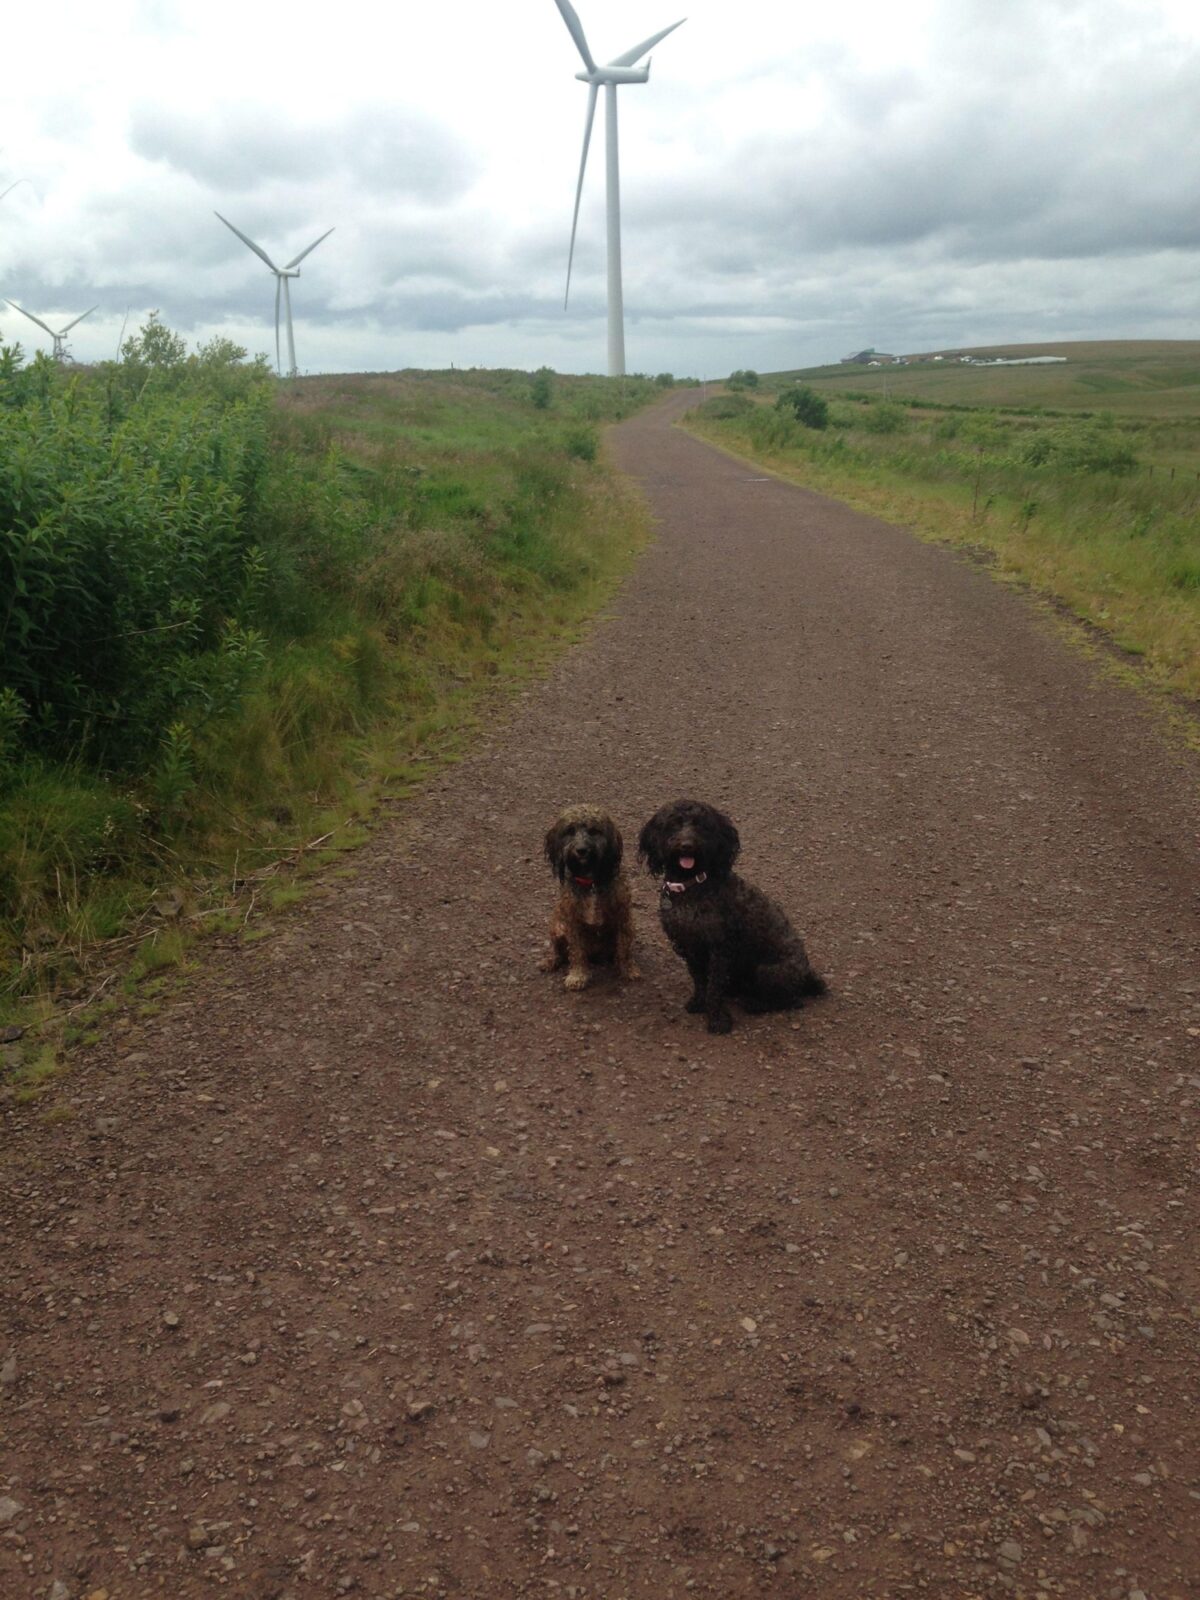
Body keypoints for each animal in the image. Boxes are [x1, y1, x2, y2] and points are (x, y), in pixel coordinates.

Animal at [544, 812, 640, 985]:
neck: (591, 882)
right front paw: (577, 975)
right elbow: (576, 952)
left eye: (594, 831)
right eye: (570, 831)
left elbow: (624, 950)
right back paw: (550, 961)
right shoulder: (573, 923)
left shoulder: (623, 918)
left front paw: (628, 970)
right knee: (559, 952)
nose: (581, 850)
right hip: (557, 928)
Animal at [640, 800, 825, 1036]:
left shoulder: (720, 947)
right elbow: (699, 979)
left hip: (768, 971)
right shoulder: (689, 946)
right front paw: (699, 1002)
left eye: (702, 825)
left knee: (791, 1000)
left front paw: (717, 1019)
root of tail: (807, 976)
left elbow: (714, 987)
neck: (690, 887)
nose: (687, 845)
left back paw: (755, 1003)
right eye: (673, 824)